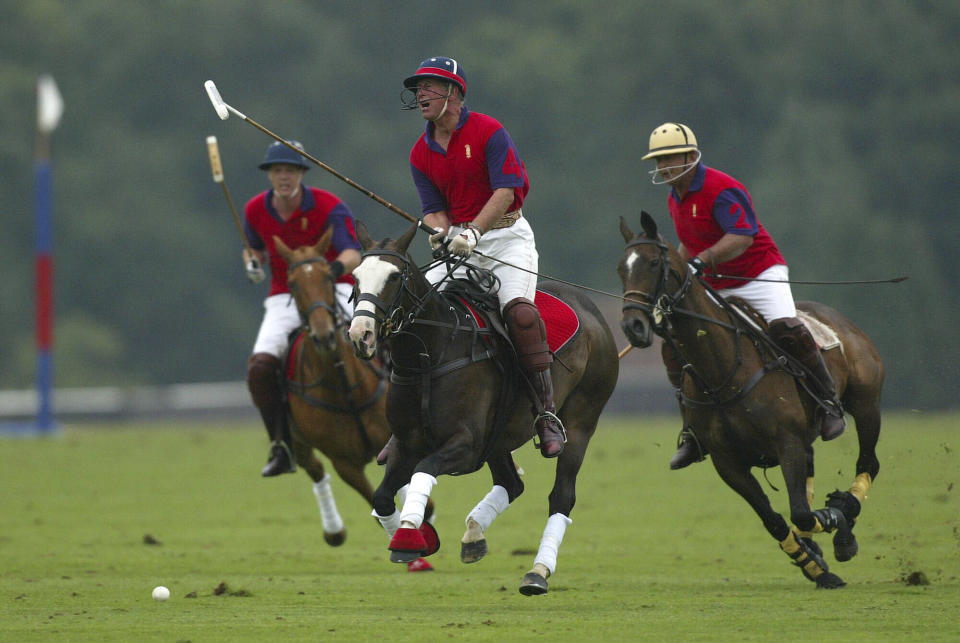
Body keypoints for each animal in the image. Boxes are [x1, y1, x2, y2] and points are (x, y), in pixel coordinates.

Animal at [272, 229, 434, 572]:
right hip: (298, 440)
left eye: (328, 277)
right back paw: (334, 530)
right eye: (292, 283)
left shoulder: (396, 440)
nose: (323, 334)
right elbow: (375, 497)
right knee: (313, 467)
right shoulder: (344, 461)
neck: (345, 387)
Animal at [348, 224, 620, 596]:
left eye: (393, 276)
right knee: (512, 483)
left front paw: (408, 537)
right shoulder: (407, 442)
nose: (360, 335)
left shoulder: (465, 443)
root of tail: (591, 307)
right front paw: (418, 539)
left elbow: (424, 468)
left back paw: (537, 572)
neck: (429, 355)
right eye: (356, 276)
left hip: (581, 420)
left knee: (562, 496)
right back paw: (474, 534)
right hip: (500, 435)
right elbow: (382, 497)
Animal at [620, 211, 880, 588]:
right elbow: (775, 519)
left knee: (868, 462)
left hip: (867, 404)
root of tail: (838, 317)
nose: (633, 326)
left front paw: (836, 521)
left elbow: (802, 513)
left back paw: (846, 517)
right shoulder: (727, 462)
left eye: (654, 263)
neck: (724, 371)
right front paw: (813, 564)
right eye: (620, 269)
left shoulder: (786, 441)